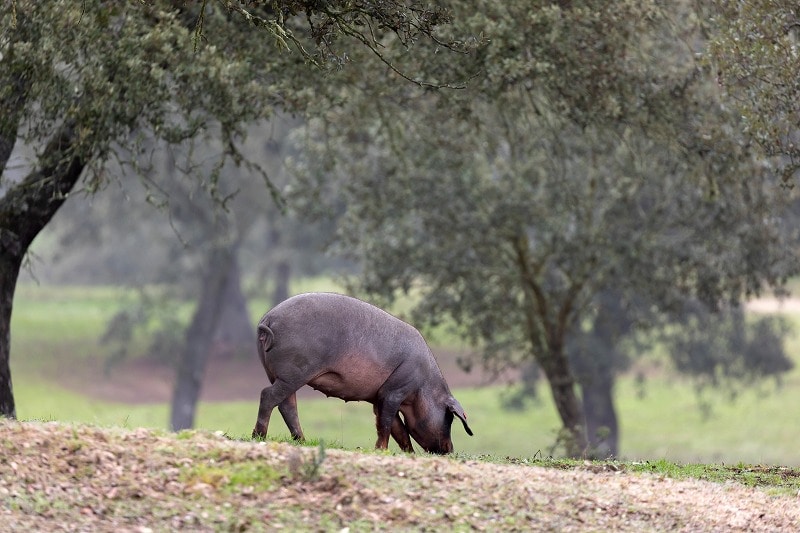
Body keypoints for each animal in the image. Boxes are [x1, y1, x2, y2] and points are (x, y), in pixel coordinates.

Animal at [253, 290, 472, 454]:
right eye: (449, 419)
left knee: (287, 405)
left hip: (277, 374)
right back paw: (259, 436)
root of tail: (269, 319)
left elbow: (398, 429)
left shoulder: (379, 398)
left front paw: (409, 453)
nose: (450, 450)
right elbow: (386, 424)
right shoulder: (395, 391)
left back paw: (302, 441)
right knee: (268, 395)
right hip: (295, 372)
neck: (423, 388)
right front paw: (381, 450)